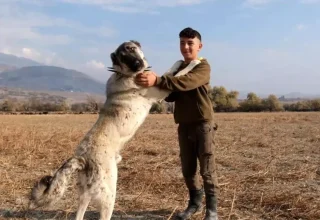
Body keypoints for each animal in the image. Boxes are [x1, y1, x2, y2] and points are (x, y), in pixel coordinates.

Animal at [28, 40, 201, 220]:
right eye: (123, 57)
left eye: (132, 49)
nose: (137, 65)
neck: (124, 74)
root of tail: (83, 158)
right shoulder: (160, 91)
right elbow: (177, 75)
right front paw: (194, 62)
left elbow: (171, 72)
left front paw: (180, 62)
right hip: (109, 196)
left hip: (85, 195)